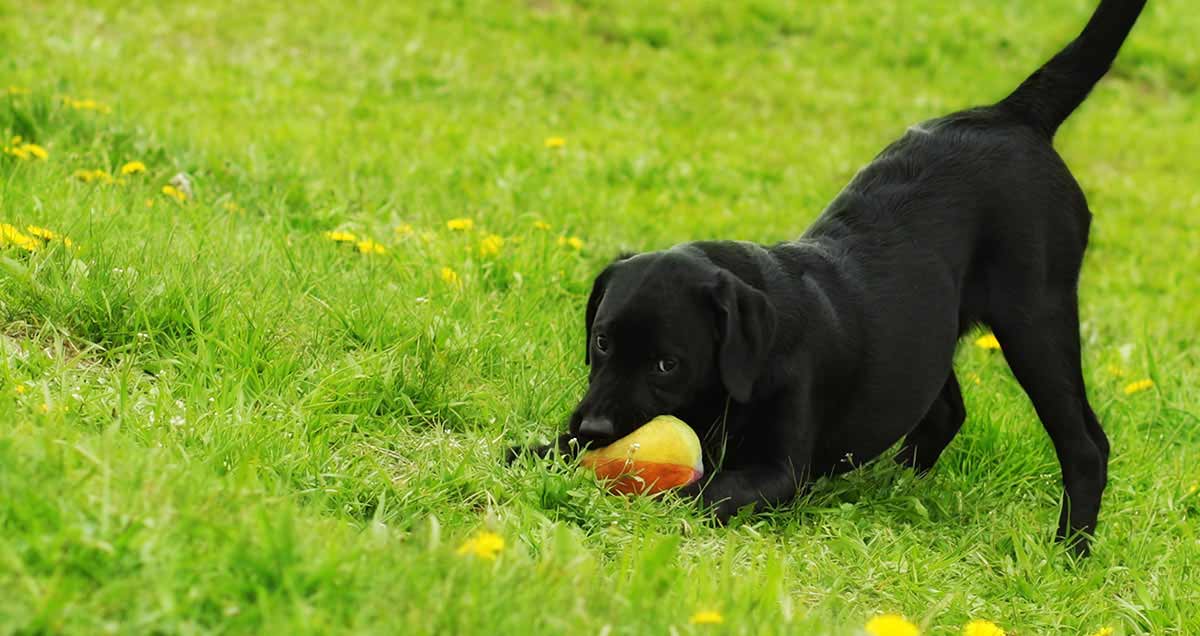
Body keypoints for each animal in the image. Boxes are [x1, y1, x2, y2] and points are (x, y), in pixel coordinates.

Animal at [511, 0, 1147, 554]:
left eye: (668, 364)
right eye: (601, 341)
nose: (594, 427)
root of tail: (1013, 114)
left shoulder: (777, 469)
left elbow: (699, 492)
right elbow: (549, 451)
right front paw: (527, 455)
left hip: (1035, 318)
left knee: (1086, 445)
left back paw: (1070, 550)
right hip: (932, 327)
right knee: (944, 408)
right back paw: (894, 485)